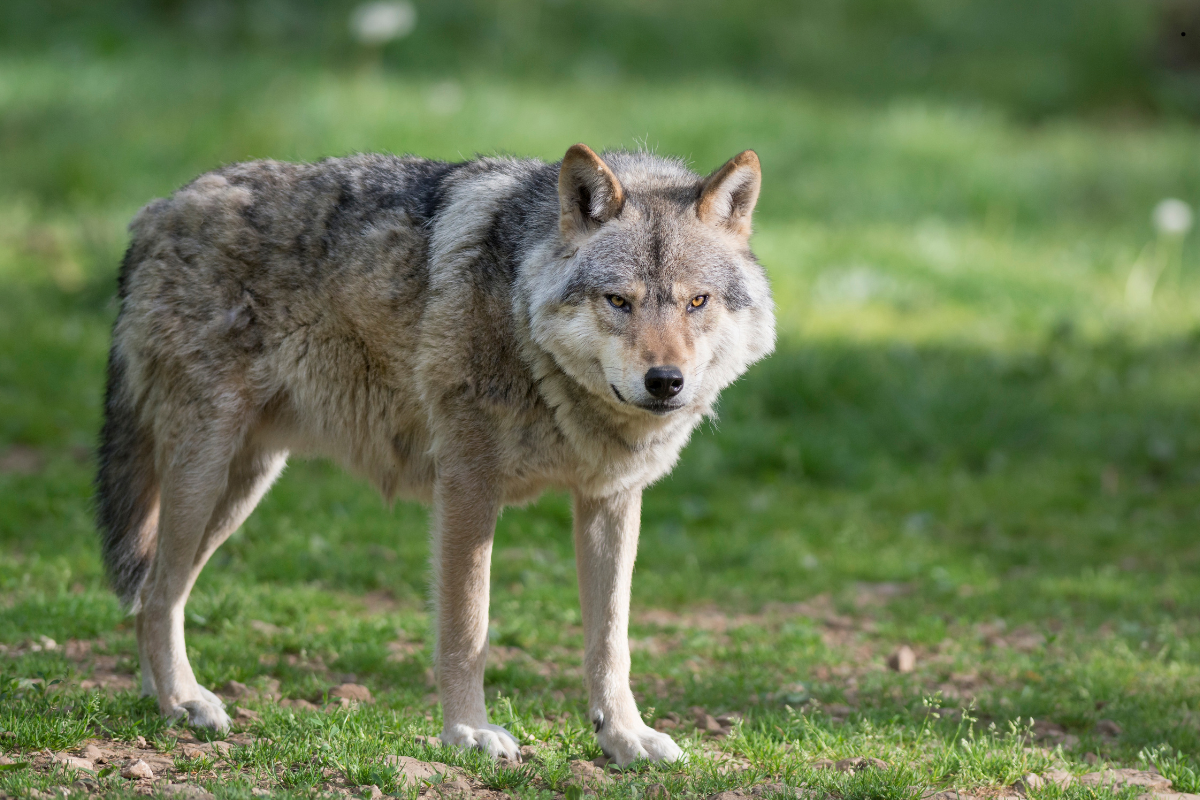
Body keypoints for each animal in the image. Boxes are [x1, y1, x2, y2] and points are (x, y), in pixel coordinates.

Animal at [95, 143, 774, 765]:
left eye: (696, 302)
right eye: (618, 301)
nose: (665, 382)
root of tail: (157, 211)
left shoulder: (610, 498)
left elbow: (611, 640)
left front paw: (625, 737)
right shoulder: (468, 485)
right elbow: (467, 627)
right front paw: (469, 733)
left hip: (243, 485)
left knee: (154, 592)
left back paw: (164, 700)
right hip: (206, 474)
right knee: (156, 593)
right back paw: (183, 701)